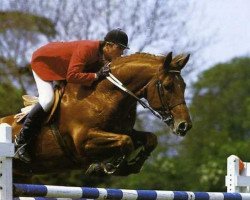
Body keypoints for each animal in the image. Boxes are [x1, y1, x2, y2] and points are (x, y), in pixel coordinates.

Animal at [0, 51, 192, 178]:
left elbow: (150, 139)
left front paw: (132, 165)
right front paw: (111, 165)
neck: (105, 95)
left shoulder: (124, 130)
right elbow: (126, 142)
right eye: (167, 86)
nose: (184, 125)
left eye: (184, 86)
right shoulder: (84, 140)